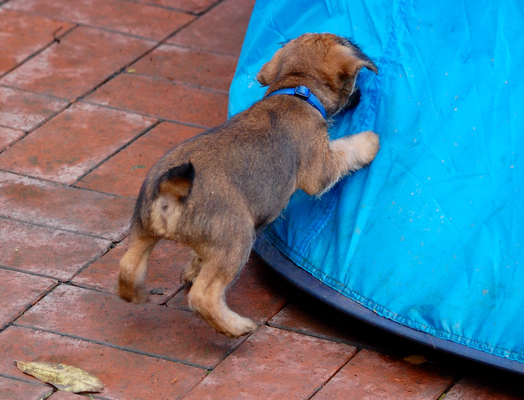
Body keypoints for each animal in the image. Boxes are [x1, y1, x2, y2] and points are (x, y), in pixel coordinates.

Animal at [118, 33, 378, 338]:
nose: (361, 95)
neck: (295, 90)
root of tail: (171, 194)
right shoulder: (320, 169)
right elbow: (346, 150)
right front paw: (370, 142)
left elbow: (198, 259)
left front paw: (193, 268)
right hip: (237, 241)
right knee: (203, 297)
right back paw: (237, 327)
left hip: (142, 230)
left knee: (128, 266)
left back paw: (137, 294)